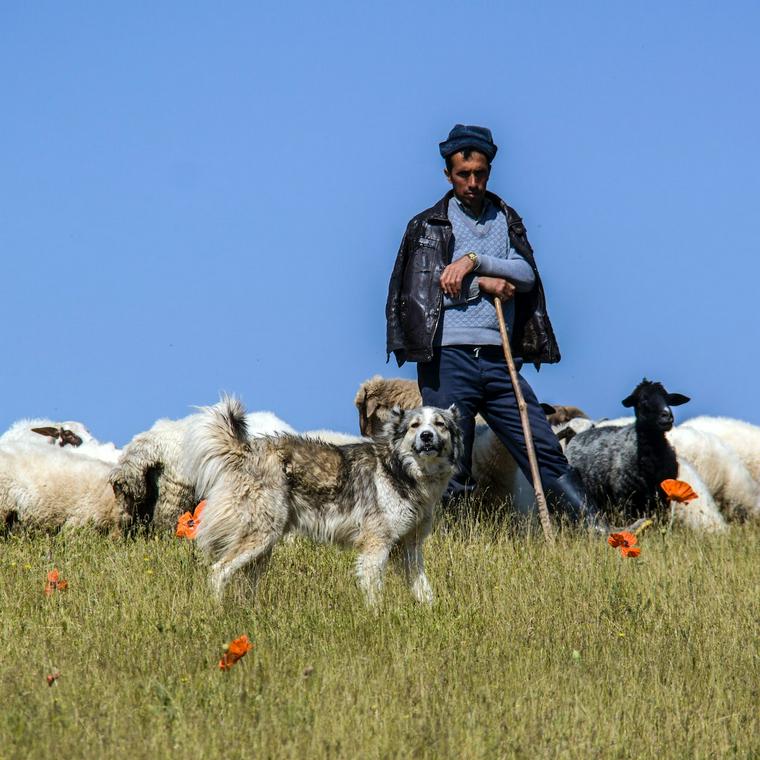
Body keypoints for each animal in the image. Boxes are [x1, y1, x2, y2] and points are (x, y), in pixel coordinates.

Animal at [184, 398, 464, 604]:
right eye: (415, 426)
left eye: (439, 424)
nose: (426, 436)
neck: (400, 470)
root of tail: (246, 450)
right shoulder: (376, 545)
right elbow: (374, 590)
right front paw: (378, 618)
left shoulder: (409, 547)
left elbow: (424, 589)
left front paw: (432, 613)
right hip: (259, 535)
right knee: (218, 572)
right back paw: (218, 612)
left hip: (263, 546)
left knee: (243, 581)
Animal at [564, 378, 688, 520]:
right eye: (643, 400)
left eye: (668, 399)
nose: (667, 416)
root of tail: (578, 435)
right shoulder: (625, 497)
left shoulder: (662, 498)